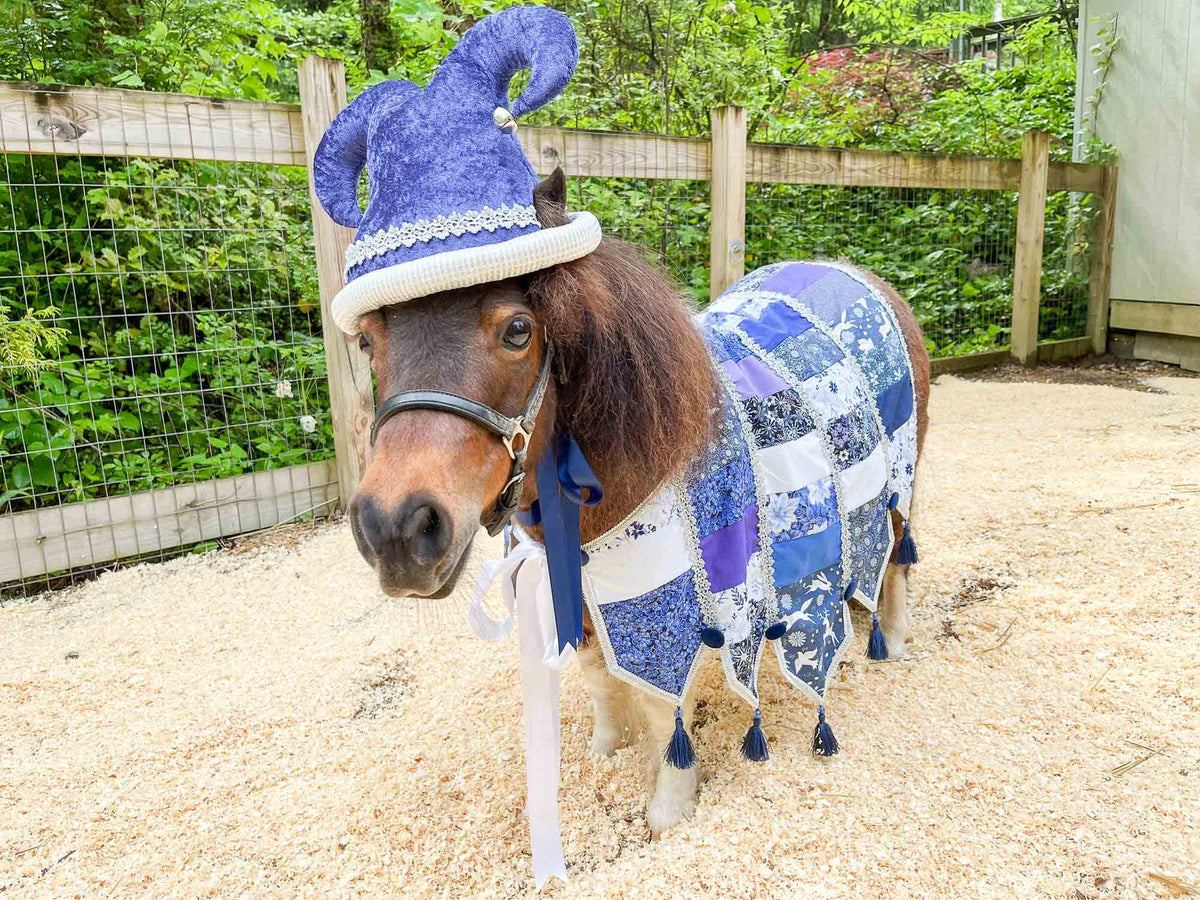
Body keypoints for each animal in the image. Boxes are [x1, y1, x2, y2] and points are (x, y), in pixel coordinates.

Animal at [347, 166, 931, 838]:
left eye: (518, 330)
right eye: (367, 342)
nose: (395, 528)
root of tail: (857, 275)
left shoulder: (662, 602)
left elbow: (660, 705)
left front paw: (670, 803)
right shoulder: (574, 588)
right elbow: (598, 675)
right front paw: (607, 746)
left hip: (902, 477)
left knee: (898, 555)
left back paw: (892, 638)